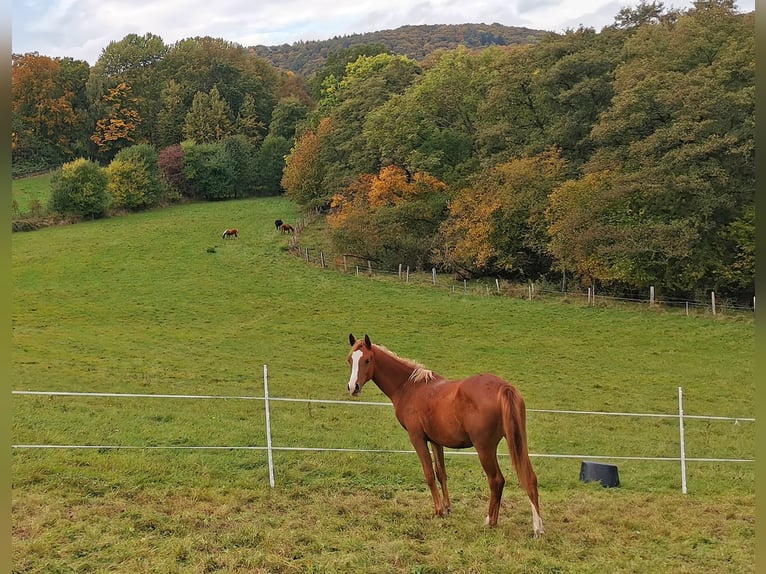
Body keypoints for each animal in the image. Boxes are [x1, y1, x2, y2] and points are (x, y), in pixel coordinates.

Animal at [348, 332, 544, 540]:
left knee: (496, 480)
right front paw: (448, 507)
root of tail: (504, 387)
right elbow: (441, 473)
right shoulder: (436, 441)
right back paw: (538, 528)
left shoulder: (417, 438)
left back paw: (491, 521)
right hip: (519, 442)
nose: (353, 387)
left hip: (485, 449)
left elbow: (429, 474)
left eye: (367, 360)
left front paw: (439, 510)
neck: (409, 387)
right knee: (530, 479)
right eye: (350, 359)